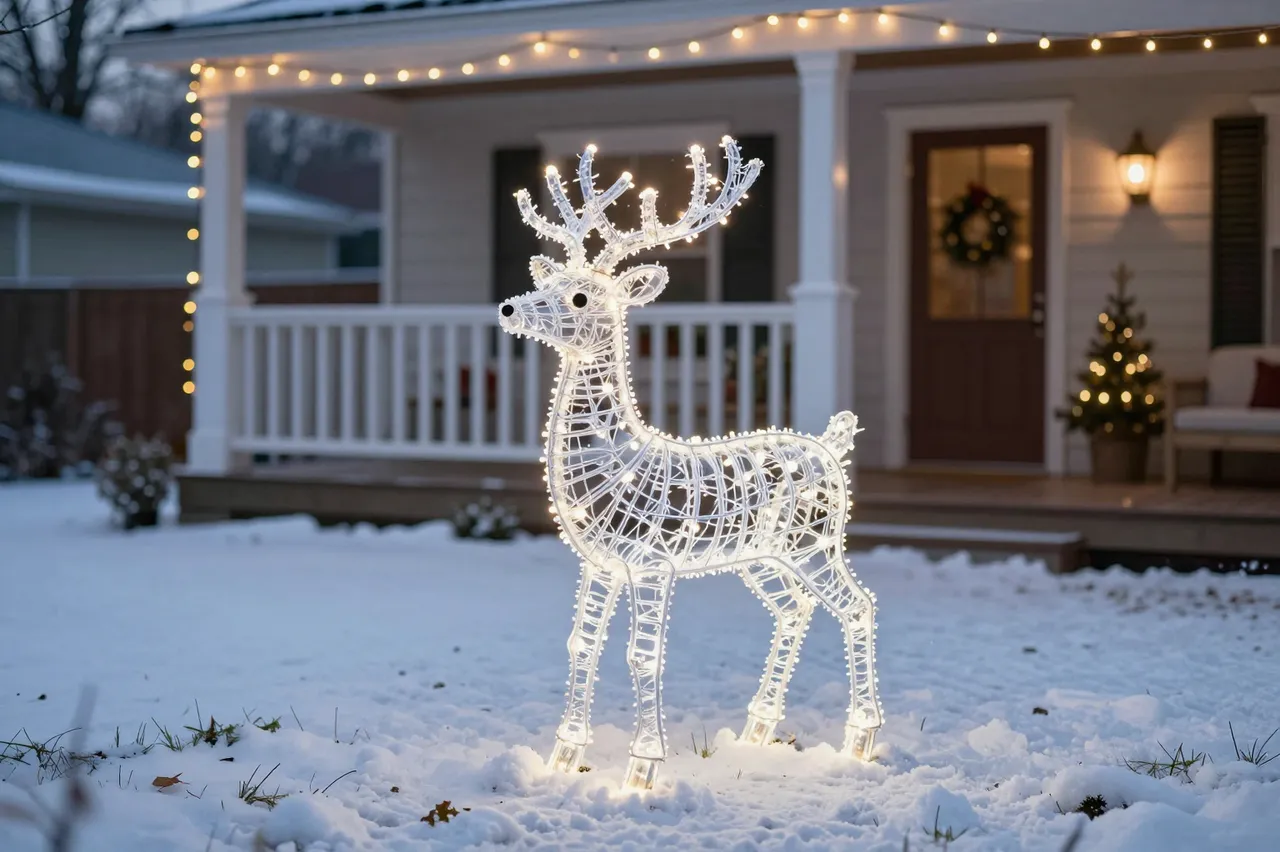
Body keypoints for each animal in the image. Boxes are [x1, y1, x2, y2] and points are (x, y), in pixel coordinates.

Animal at [497, 136, 882, 790]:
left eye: (581, 296)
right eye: (551, 282)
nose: (507, 308)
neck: (620, 458)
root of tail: (832, 446)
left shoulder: (652, 563)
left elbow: (644, 654)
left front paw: (642, 768)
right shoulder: (599, 562)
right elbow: (582, 643)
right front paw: (562, 757)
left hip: (818, 543)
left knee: (857, 606)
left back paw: (861, 738)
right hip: (762, 556)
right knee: (795, 609)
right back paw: (757, 732)